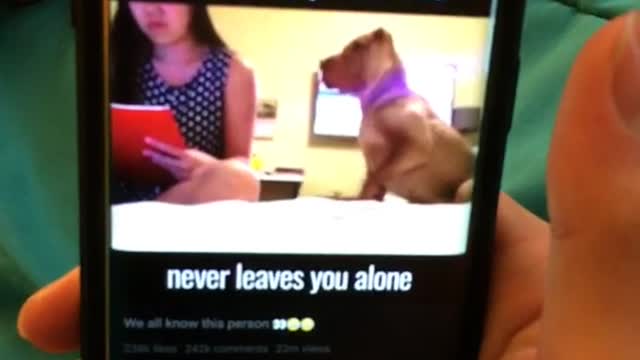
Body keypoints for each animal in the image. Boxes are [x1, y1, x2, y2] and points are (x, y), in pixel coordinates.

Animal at [320, 28, 476, 202]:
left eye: (357, 45)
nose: (321, 63)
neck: (383, 95)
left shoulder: (416, 146)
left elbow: (376, 176)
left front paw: (357, 199)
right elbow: (372, 182)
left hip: (464, 187)